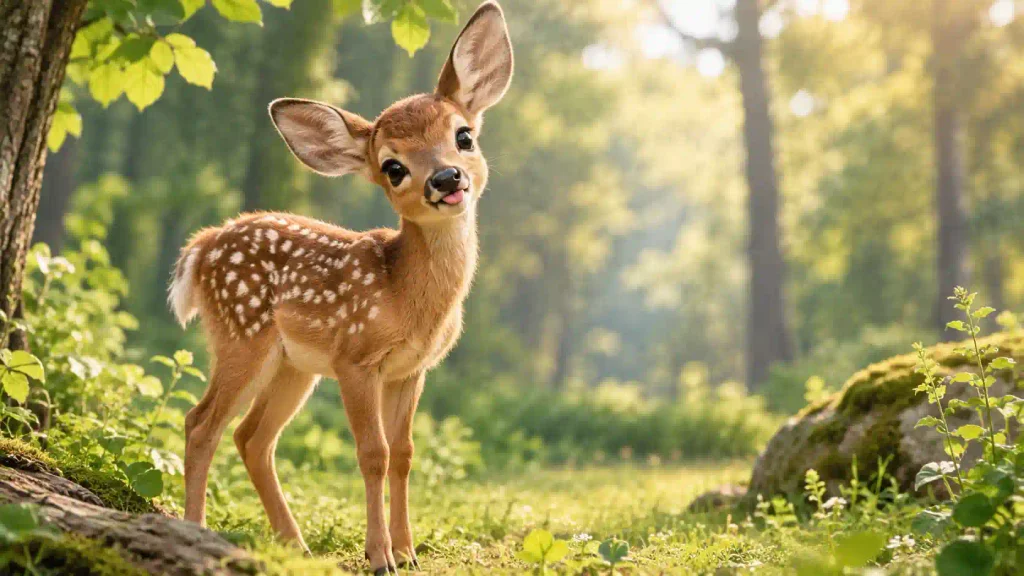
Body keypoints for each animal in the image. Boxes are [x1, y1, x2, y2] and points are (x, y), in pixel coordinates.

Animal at [166, 3, 512, 573]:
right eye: (392, 167)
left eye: (464, 136)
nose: (445, 178)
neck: (406, 295)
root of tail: (201, 246)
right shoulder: (356, 357)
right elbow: (372, 455)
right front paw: (380, 555)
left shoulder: (411, 369)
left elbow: (404, 455)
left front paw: (409, 552)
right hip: (242, 333)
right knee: (202, 423)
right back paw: (196, 529)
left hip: (293, 365)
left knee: (251, 436)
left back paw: (296, 544)